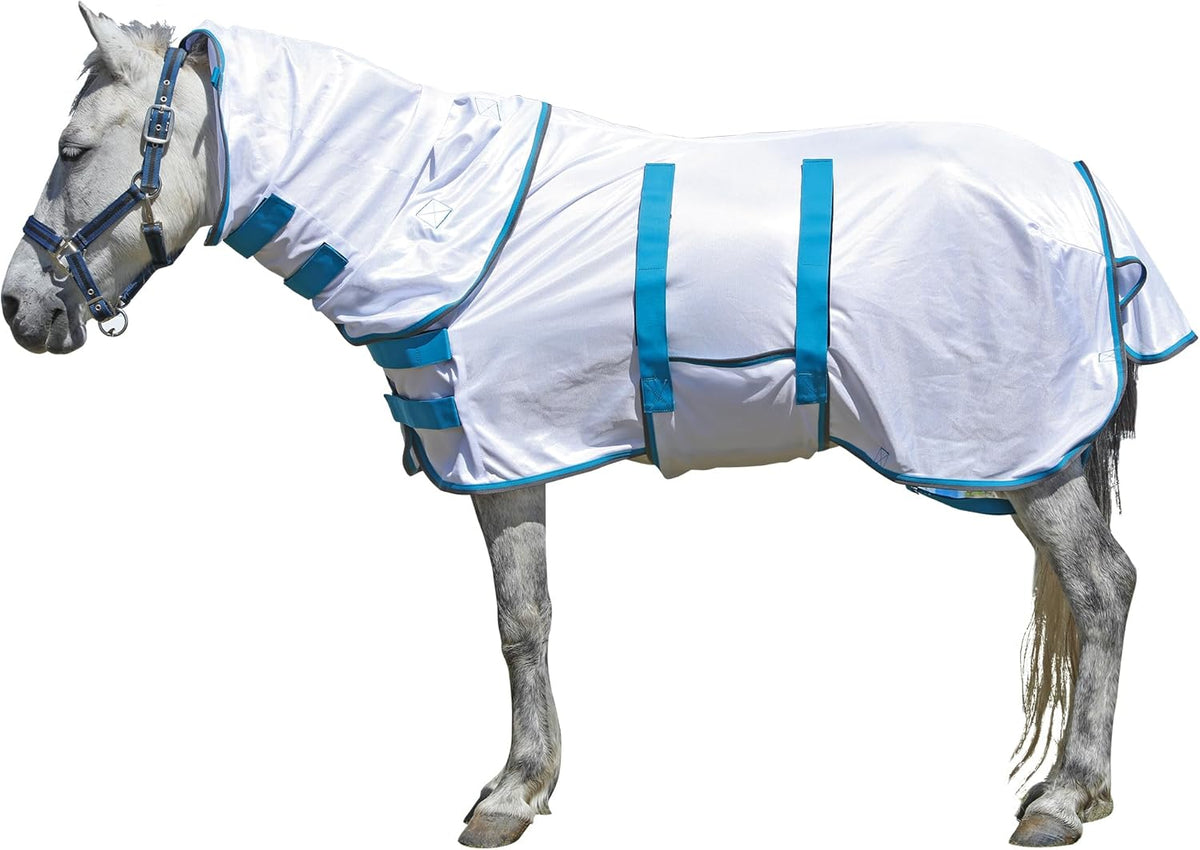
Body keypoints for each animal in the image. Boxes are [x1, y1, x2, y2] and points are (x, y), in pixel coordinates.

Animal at [3, 6, 1193, 847]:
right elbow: (528, 619)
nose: (21, 307)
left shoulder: (501, 458)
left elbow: (520, 622)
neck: (426, 207)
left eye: (70, 148)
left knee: (1105, 588)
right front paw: (528, 779)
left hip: (1024, 457)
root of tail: (1085, 193)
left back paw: (1067, 796)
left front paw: (514, 790)